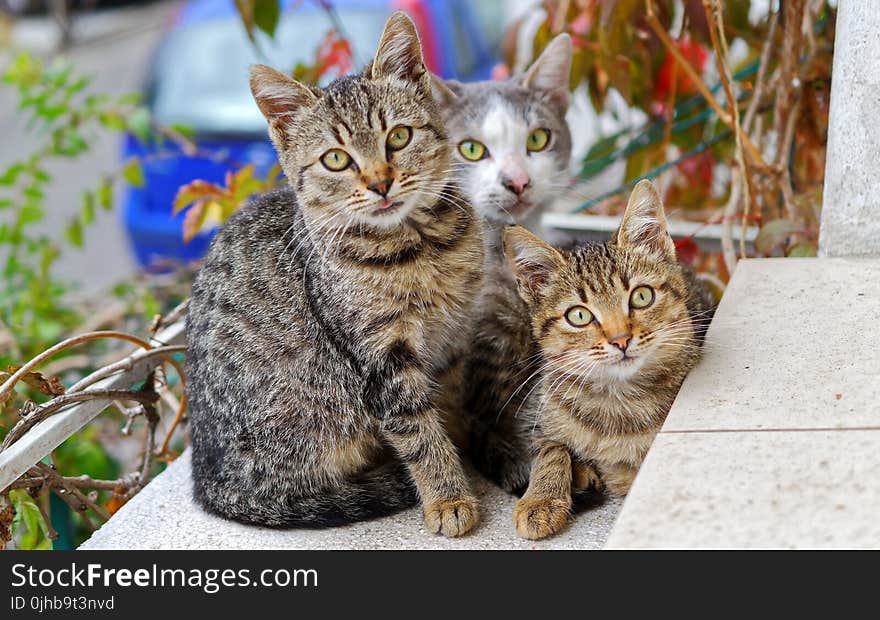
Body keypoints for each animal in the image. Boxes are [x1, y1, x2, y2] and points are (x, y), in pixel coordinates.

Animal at [187, 14, 488, 536]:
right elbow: (417, 429)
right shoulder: (380, 356)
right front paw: (448, 496)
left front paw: (458, 457)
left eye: (399, 137)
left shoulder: (451, 341)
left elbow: (445, 407)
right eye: (336, 159)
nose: (381, 182)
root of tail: (209, 481)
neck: (421, 247)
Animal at [502, 179, 716, 536]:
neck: (617, 401)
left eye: (641, 296)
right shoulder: (535, 411)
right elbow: (550, 446)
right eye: (578, 316)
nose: (621, 340)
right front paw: (541, 498)